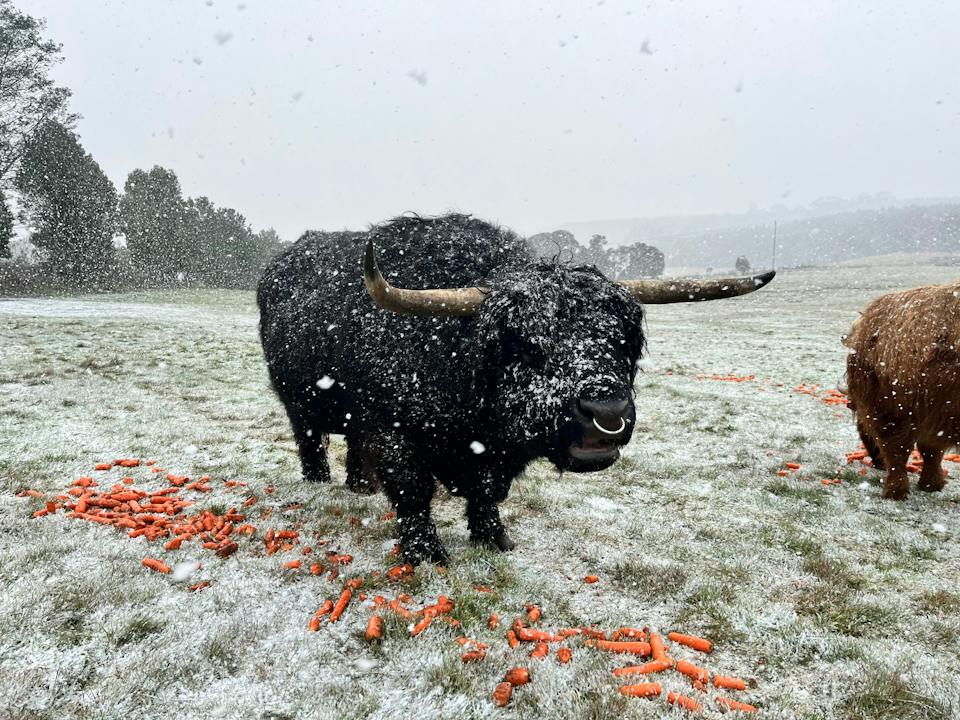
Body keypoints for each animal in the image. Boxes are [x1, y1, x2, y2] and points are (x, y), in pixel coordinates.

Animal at [257, 214, 775, 563]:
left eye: (623, 341)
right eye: (527, 345)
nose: (607, 415)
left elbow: (486, 494)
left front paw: (494, 537)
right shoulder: (394, 432)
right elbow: (413, 492)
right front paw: (426, 553)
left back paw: (360, 485)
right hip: (297, 402)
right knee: (310, 438)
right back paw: (319, 481)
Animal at [844, 281, 960, 500]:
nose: (878, 463)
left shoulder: (890, 409)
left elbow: (899, 449)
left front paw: (896, 490)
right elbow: (927, 450)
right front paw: (930, 484)